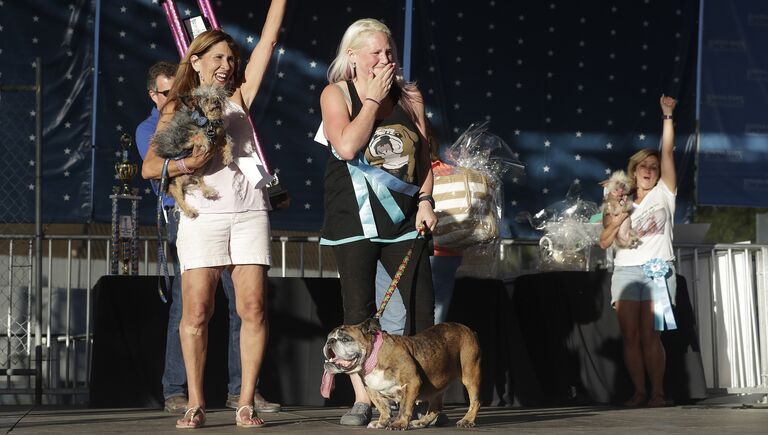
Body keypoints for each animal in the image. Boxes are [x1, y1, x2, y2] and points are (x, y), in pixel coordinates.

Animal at [152, 84, 232, 218]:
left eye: (217, 97)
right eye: (206, 100)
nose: (216, 102)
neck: (208, 122)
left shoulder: (220, 137)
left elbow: (228, 141)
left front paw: (228, 157)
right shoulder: (184, 140)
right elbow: (198, 135)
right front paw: (204, 141)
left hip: (198, 172)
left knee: (199, 182)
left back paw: (208, 191)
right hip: (175, 184)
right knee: (180, 199)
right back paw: (190, 211)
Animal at [320, 318, 480, 430]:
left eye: (345, 339)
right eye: (329, 337)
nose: (330, 341)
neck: (373, 356)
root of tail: (468, 329)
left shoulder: (411, 382)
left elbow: (404, 407)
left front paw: (399, 423)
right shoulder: (371, 390)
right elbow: (383, 407)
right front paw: (381, 422)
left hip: (470, 374)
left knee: (475, 401)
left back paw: (467, 420)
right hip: (436, 386)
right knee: (435, 407)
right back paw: (421, 422)